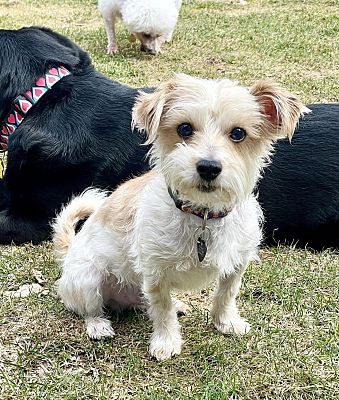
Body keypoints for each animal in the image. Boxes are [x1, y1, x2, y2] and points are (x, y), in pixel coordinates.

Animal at [52, 74, 308, 360]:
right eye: (184, 129)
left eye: (238, 133)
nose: (209, 167)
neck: (204, 216)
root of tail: (70, 249)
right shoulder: (155, 272)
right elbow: (162, 309)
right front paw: (166, 342)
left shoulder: (237, 262)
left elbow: (226, 294)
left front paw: (225, 322)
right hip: (86, 280)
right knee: (90, 308)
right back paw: (98, 325)